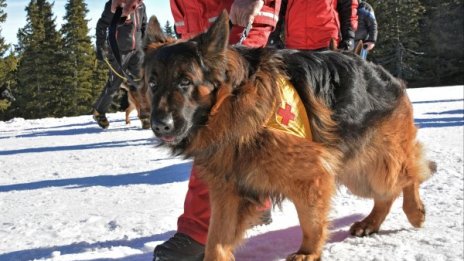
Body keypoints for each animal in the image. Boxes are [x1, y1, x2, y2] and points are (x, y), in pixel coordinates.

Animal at [142, 11, 436, 258]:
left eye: (185, 81)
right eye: (153, 84)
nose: (160, 125)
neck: (234, 99)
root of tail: (381, 74)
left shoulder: (312, 176)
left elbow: (311, 223)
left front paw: (308, 252)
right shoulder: (228, 191)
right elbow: (216, 242)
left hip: (373, 166)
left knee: (409, 174)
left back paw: (414, 211)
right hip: (355, 170)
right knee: (389, 191)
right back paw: (371, 223)